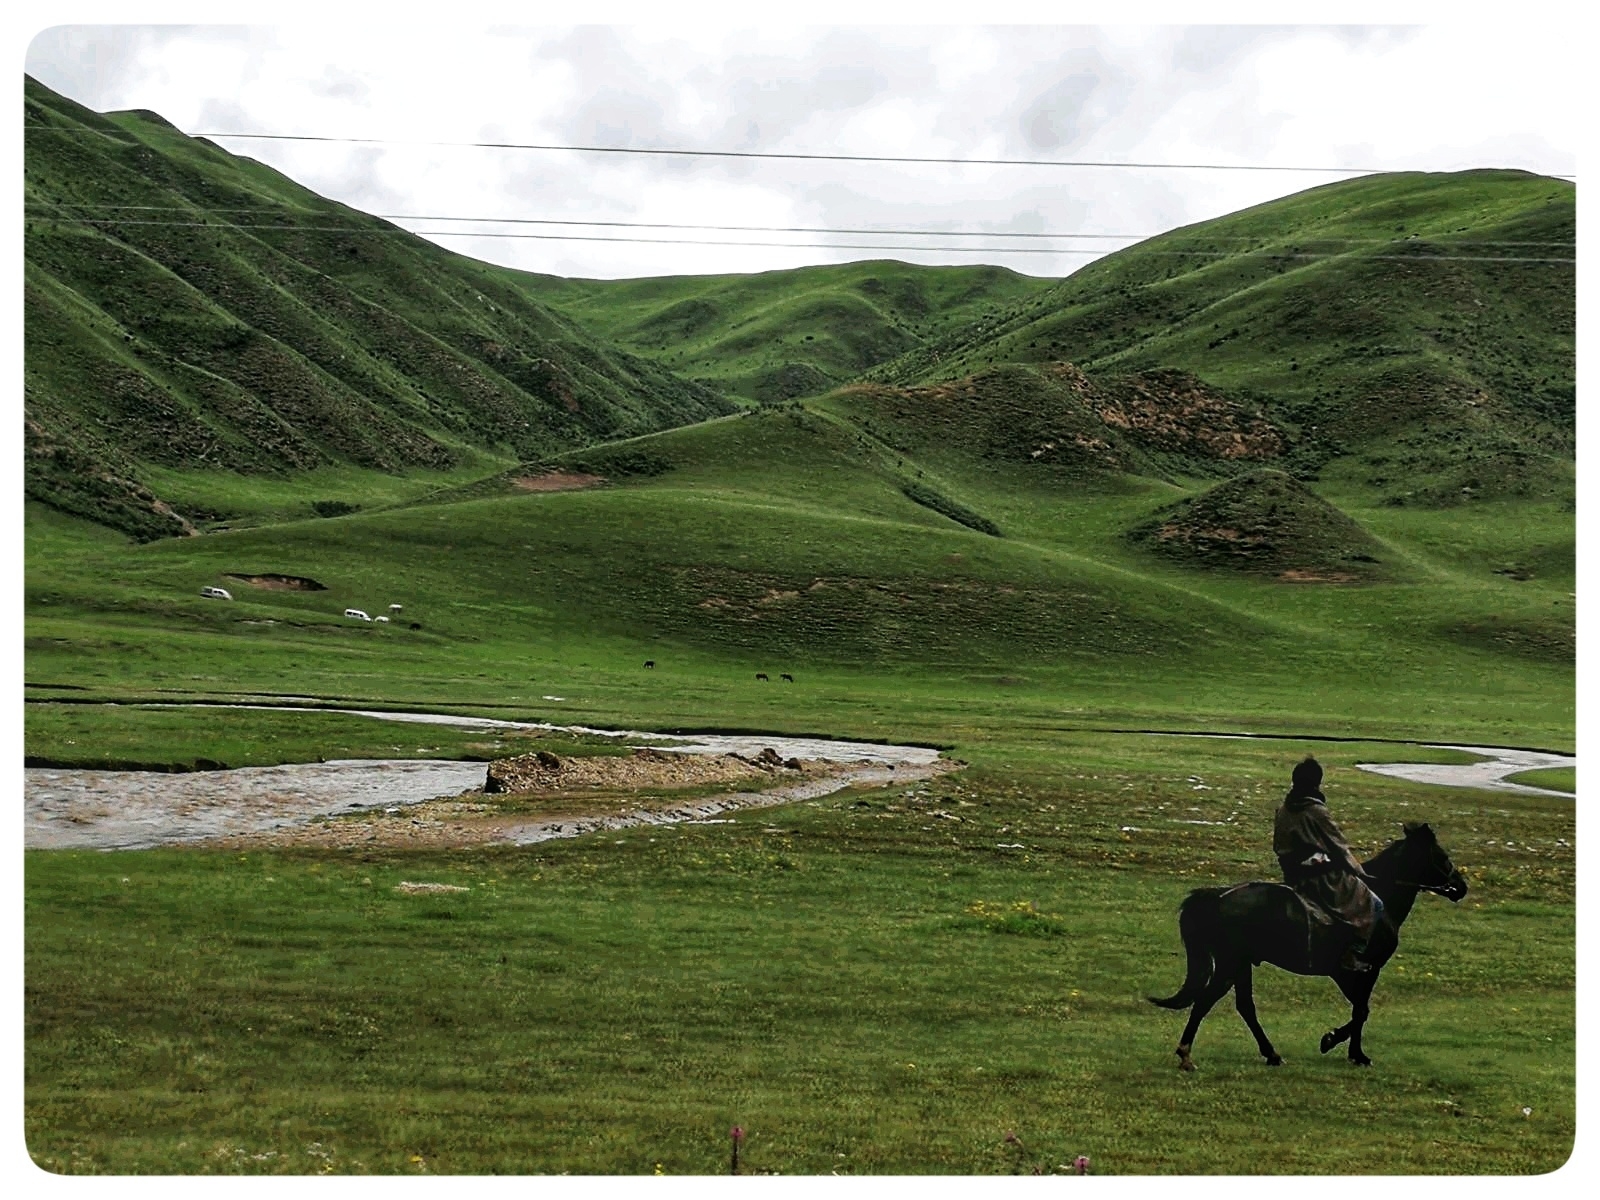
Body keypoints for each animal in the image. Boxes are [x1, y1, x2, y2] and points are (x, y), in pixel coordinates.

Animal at [1152, 825, 1465, 1068]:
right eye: (1442, 857)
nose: (1461, 887)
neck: (1380, 900)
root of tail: (1219, 897)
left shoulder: (1354, 974)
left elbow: (1359, 1010)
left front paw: (1351, 1051)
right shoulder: (1360, 970)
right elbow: (1361, 1011)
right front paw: (1338, 1044)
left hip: (1240, 965)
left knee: (1244, 1007)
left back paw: (1271, 1054)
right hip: (1231, 964)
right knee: (1207, 1001)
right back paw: (1186, 1055)